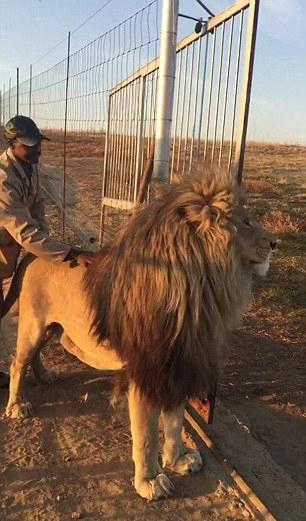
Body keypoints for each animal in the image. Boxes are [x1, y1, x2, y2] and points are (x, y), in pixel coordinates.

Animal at [2, 168, 276, 500]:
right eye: (246, 221)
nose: (275, 243)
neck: (199, 292)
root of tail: (32, 255)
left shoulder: (177, 368)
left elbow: (174, 422)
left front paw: (178, 459)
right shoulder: (146, 373)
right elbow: (146, 435)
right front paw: (150, 481)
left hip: (50, 327)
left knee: (36, 355)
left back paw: (45, 376)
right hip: (33, 325)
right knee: (18, 362)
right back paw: (17, 405)